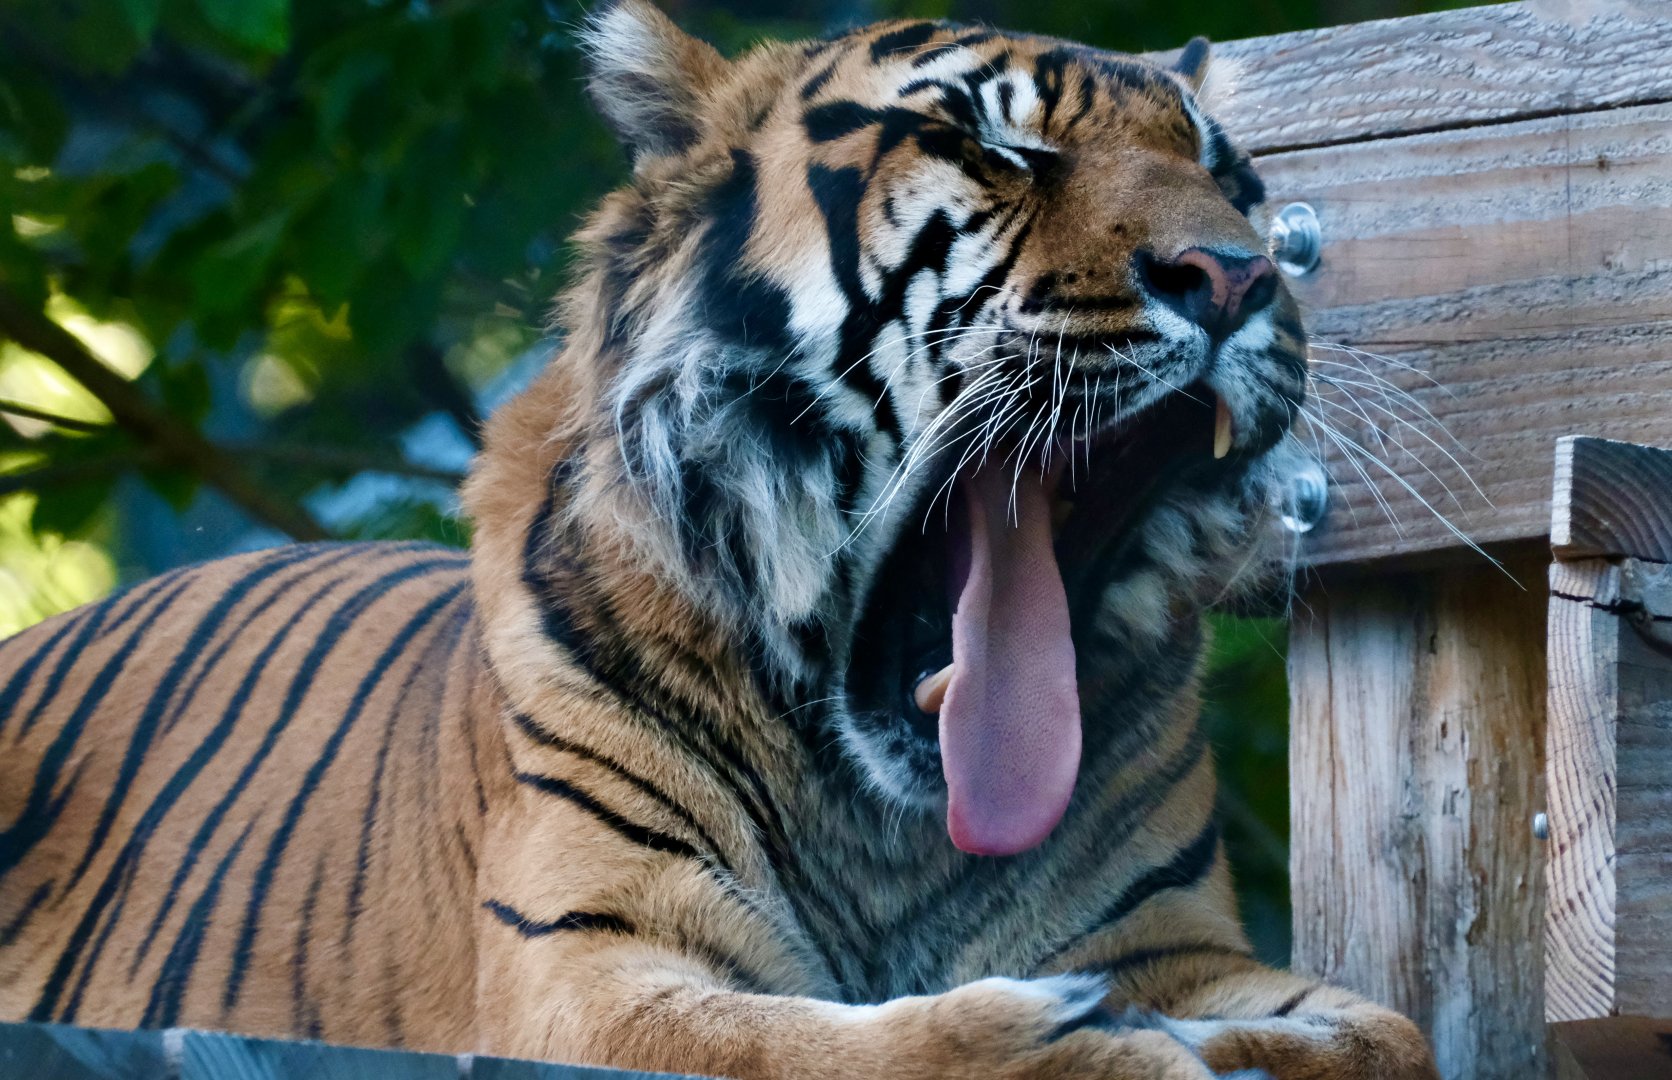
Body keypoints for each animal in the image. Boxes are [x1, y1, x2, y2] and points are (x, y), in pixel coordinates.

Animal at [0, 4, 1440, 1077]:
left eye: (1231, 180)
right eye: (992, 149)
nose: (1238, 275)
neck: (896, 829)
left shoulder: (1172, 942)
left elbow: (1387, 1033)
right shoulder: (587, 971)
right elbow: (832, 1049)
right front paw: (1083, 1045)